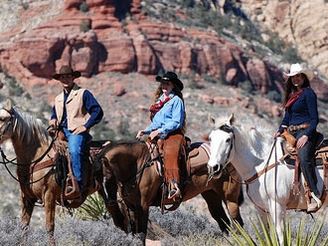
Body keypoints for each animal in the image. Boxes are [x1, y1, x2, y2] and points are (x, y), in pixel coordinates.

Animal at [0, 101, 125, 245]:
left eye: (2, 118)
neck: (36, 158)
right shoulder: (26, 197)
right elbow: (24, 226)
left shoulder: (49, 196)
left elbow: (49, 227)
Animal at [102, 139, 243, 243]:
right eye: (97, 183)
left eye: (108, 179)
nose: (110, 203)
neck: (139, 164)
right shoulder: (130, 206)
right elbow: (134, 233)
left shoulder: (143, 206)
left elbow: (142, 234)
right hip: (211, 195)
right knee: (222, 221)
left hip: (229, 197)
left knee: (237, 222)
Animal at [208, 114, 326, 244]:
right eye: (210, 138)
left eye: (228, 139)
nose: (213, 167)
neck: (262, 164)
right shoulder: (261, 208)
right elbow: (265, 234)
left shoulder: (277, 205)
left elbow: (280, 235)